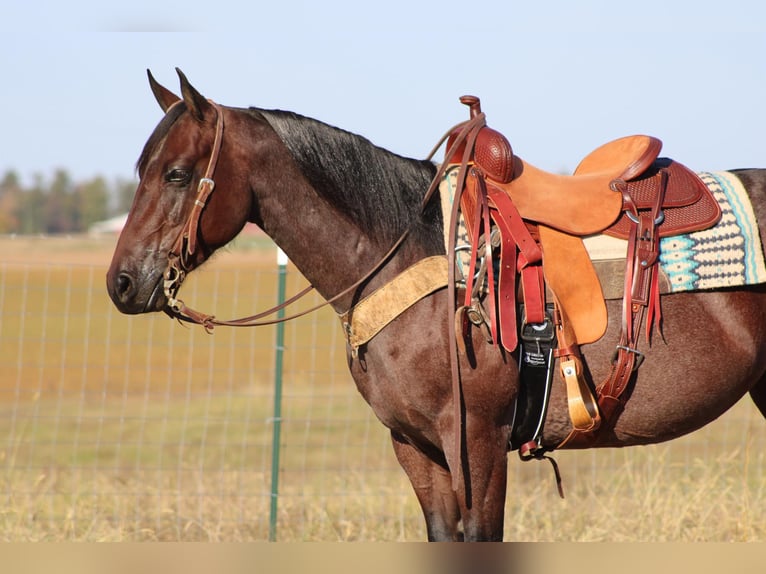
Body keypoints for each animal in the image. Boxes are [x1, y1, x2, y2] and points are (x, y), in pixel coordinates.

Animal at [106, 70, 766, 544]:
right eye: (142, 169)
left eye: (176, 173)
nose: (122, 283)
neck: (406, 254)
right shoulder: (416, 449)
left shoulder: (477, 443)